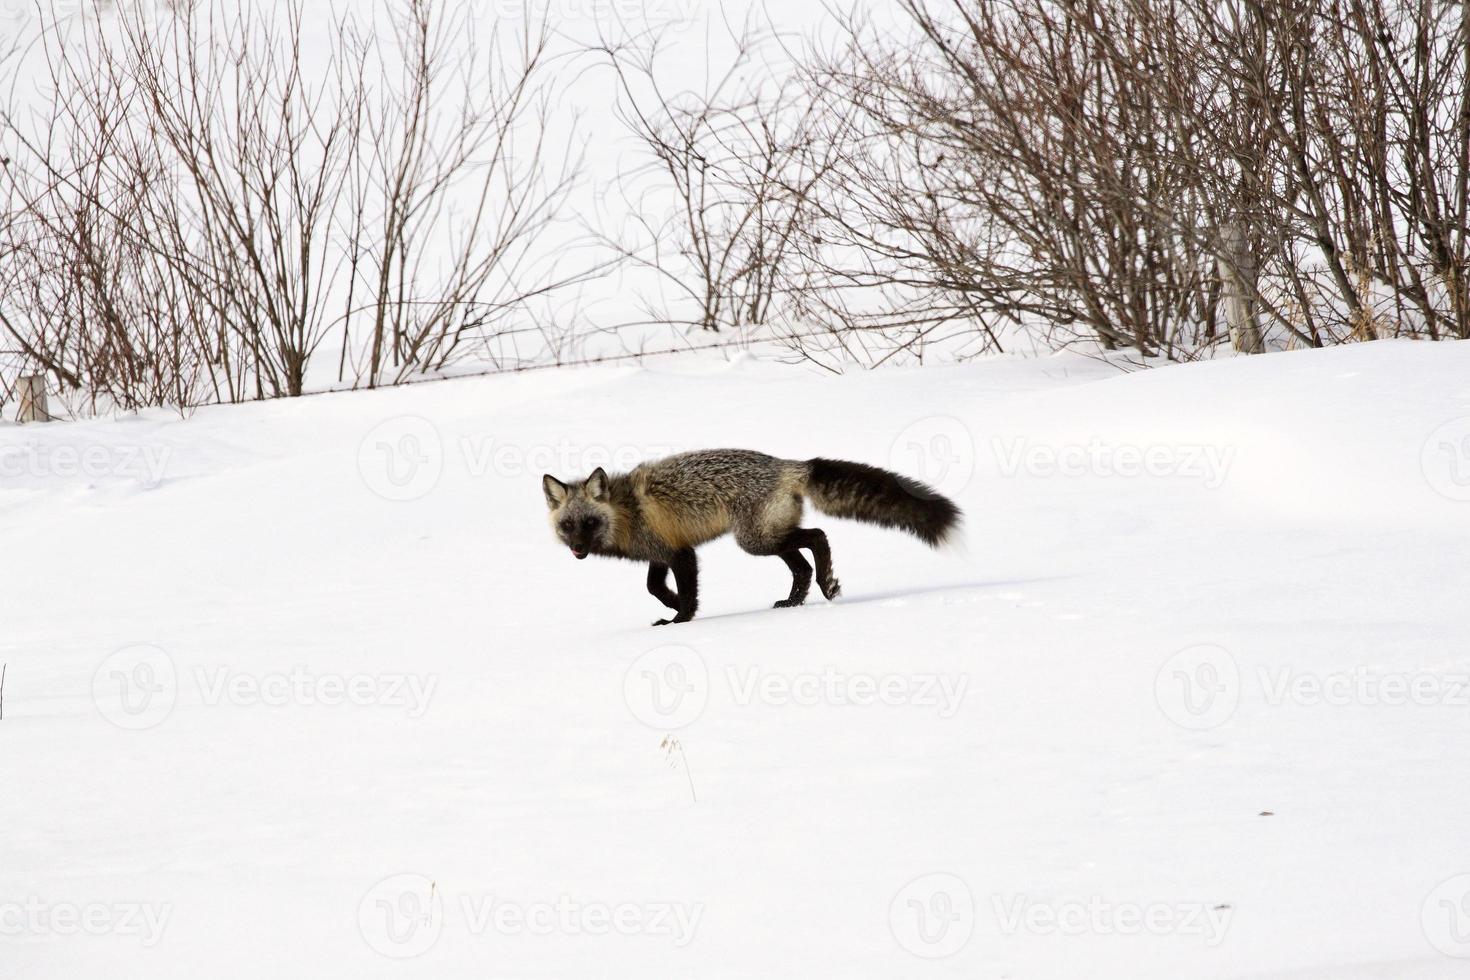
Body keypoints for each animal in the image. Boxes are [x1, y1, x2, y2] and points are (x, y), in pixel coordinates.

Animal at [543, 449, 964, 625]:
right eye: (568, 526)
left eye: (589, 523)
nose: (578, 549)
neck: (626, 510)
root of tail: (790, 465)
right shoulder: (659, 554)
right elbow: (653, 588)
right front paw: (673, 603)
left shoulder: (682, 554)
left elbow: (684, 595)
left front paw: (681, 618)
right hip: (766, 537)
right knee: (801, 565)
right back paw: (794, 601)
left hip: (754, 541)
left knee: (818, 536)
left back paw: (827, 584)